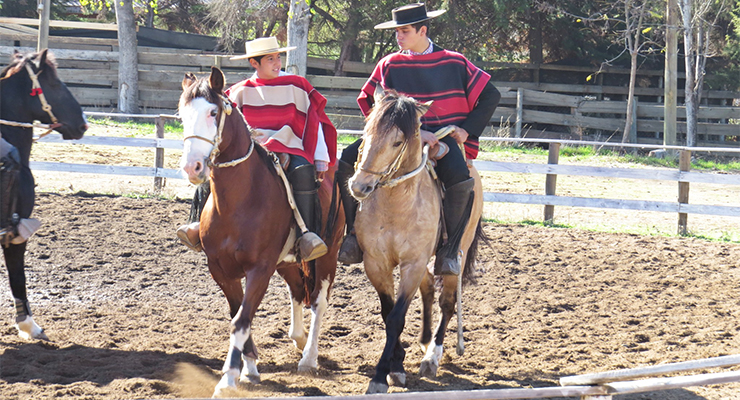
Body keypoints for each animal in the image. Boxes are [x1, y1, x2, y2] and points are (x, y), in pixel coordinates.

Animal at [179, 66, 344, 396]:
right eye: (182, 114)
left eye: (213, 112)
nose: (193, 167)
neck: (239, 201)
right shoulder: (221, 269)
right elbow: (239, 314)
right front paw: (251, 367)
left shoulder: (259, 269)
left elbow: (241, 320)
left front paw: (228, 378)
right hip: (287, 263)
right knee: (297, 291)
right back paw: (298, 338)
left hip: (327, 256)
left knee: (319, 301)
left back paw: (309, 357)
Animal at [348, 90, 482, 394]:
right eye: (366, 132)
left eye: (397, 141)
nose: (359, 186)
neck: (396, 204)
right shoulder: (376, 263)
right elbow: (387, 313)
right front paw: (396, 365)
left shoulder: (412, 264)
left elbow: (397, 317)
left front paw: (380, 376)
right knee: (429, 290)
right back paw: (424, 340)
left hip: (456, 254)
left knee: (447, 302)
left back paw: (433, 355)